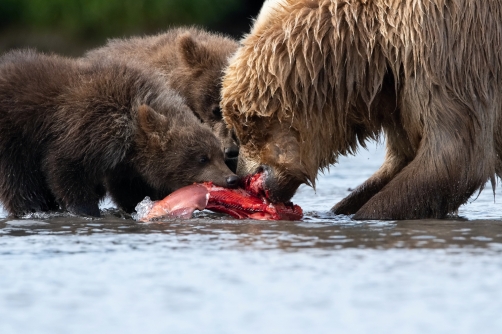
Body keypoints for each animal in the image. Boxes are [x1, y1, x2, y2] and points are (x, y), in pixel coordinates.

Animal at [222, 0, 502, 220]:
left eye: (247, 124)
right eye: (237, 124)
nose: (243, 176)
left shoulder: (447, 46)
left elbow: (456, 156)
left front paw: (368, 213)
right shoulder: (400, 93)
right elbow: (402, 160)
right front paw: (341, 208)